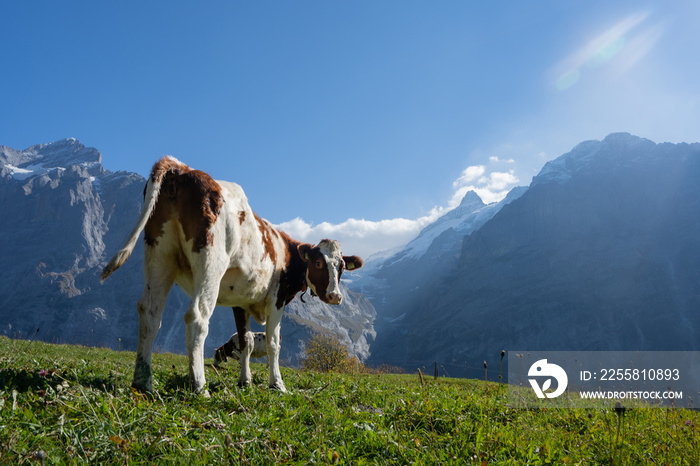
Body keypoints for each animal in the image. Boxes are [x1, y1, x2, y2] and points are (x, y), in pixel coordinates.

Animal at [102, 157, 366, 394]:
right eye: (319, 263)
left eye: (342, 267)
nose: (335, 297)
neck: (286, 252)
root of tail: (182, 168)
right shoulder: (276, 300)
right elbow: (273, 343)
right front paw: (277, 384)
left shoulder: (240, 301)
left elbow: (246, 341)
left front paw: (245, 381)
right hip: (211, 263)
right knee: (197, 316)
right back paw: (199, 386)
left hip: (159, 255)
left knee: (150, 312)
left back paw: (142, 382)